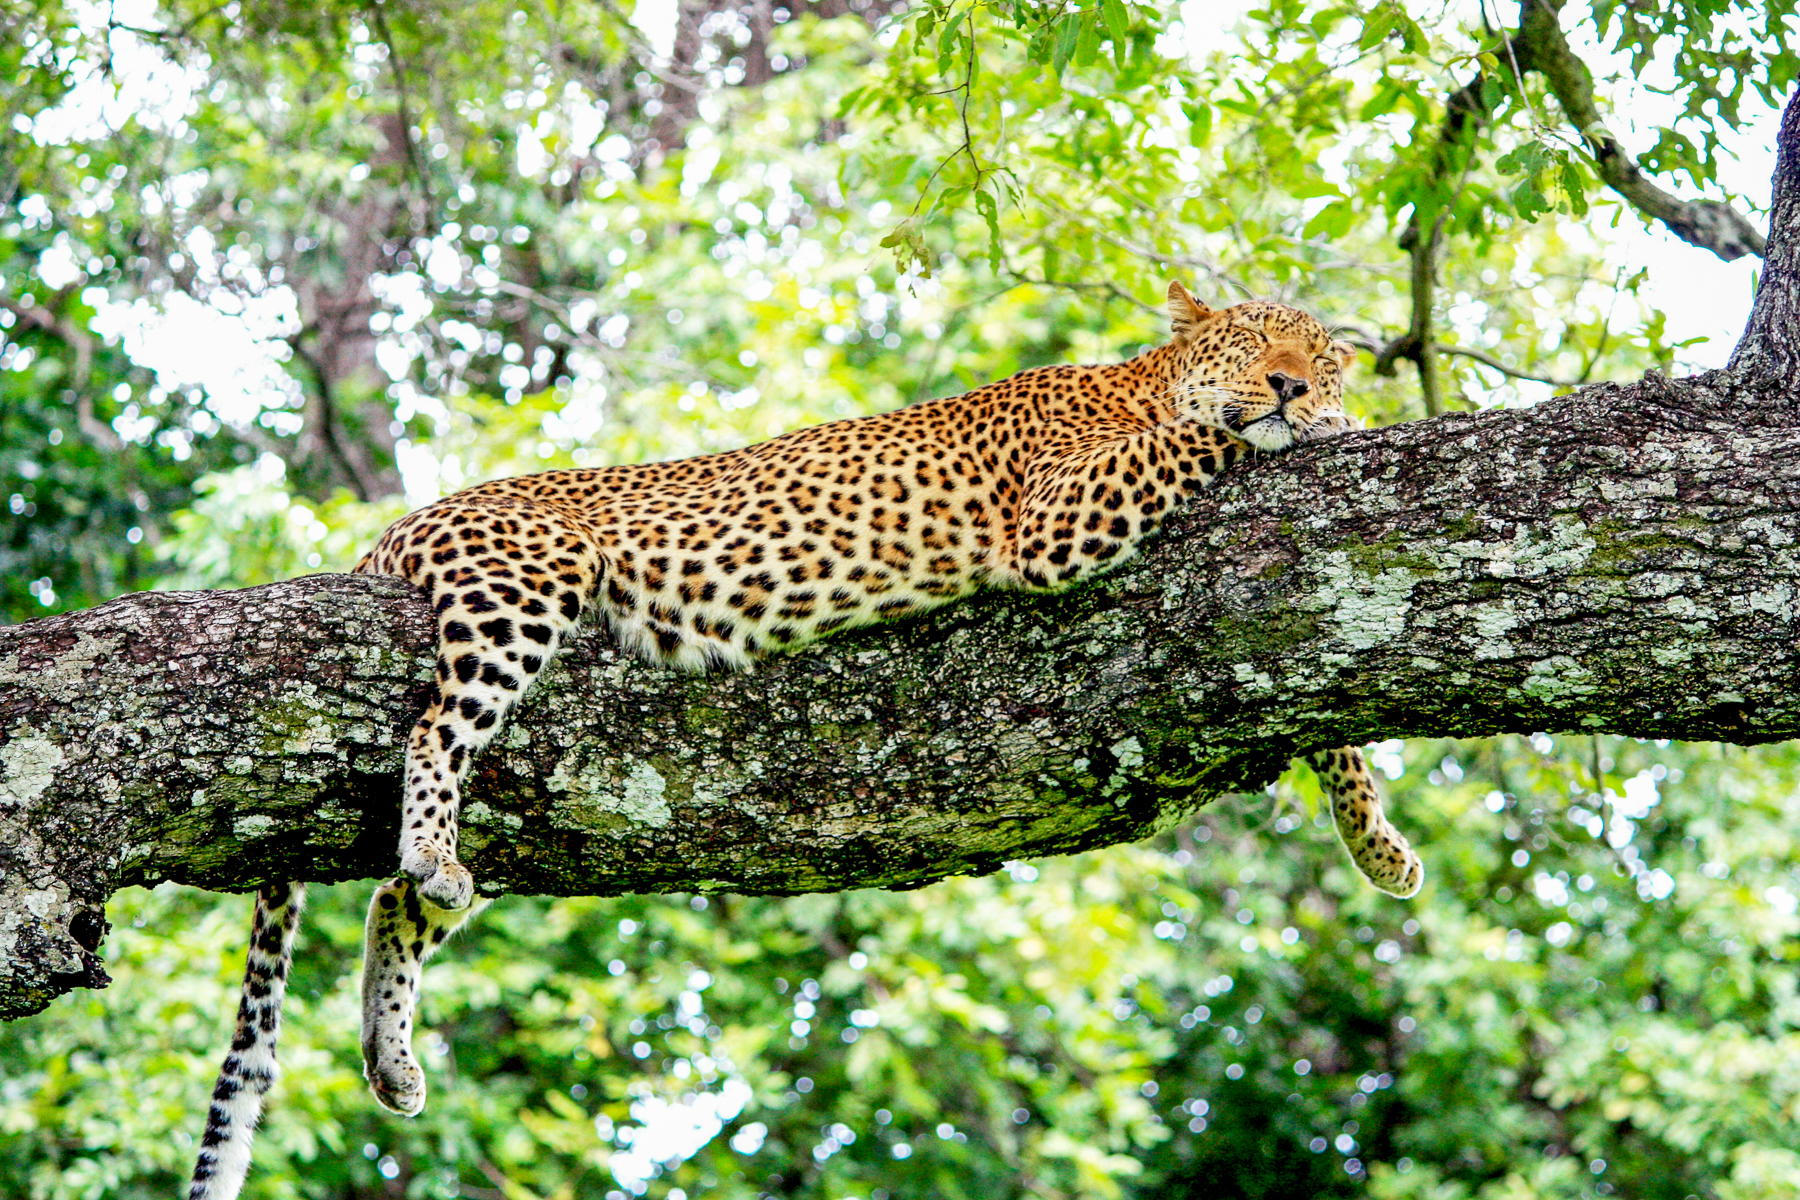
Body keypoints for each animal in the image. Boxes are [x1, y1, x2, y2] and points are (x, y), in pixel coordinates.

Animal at [182, 284, 1418, 1200]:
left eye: (1324, 353)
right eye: (1258, 340)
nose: (1295, 382)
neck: (1139, 374)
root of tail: (404, 521)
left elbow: (1332, 719)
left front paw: (1379, 847)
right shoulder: (1060, 515)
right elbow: (1198, 440)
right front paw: (1319, 427)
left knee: (397, 902)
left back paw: (393, 1047)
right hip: (519, 591)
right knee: (433, 738)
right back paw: (433, 853)